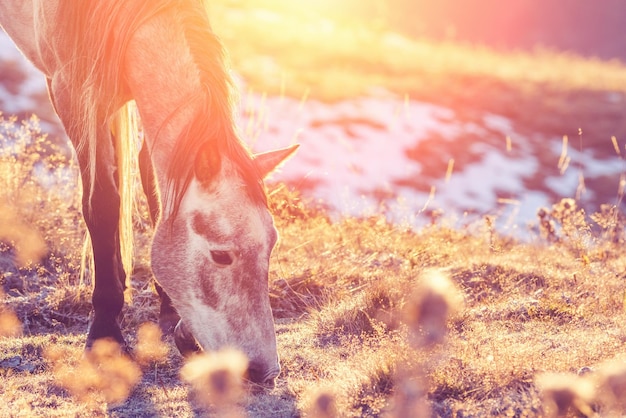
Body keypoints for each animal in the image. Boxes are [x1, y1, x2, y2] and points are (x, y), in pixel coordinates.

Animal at [0, 0, 298, 386]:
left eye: (271, 246)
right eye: (221, 255)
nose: (265, 371)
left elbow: (155, 191)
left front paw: (170, 314)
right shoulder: (74, 99)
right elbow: (102, 204)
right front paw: (105, 332)